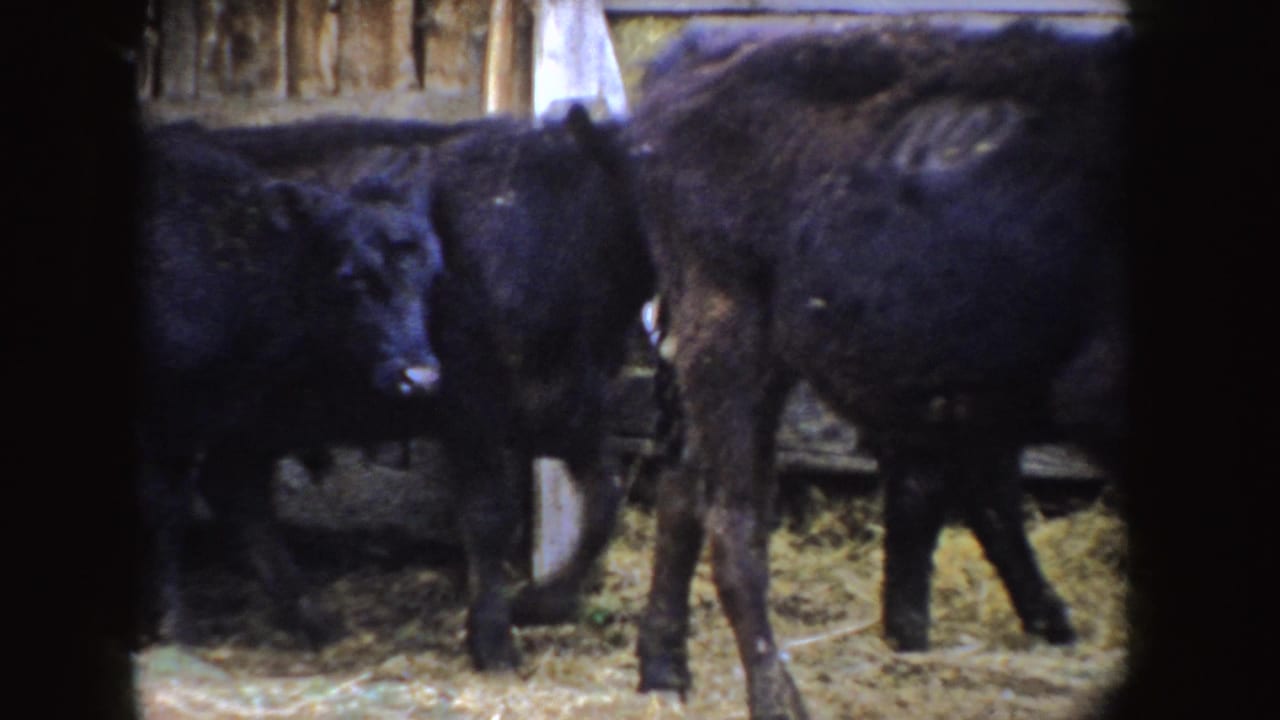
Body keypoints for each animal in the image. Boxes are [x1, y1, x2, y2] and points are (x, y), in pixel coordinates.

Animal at [137, 123, 445, 646]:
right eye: (352, 276)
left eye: (430, 271)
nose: (419, 376)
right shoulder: (169, 423)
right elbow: (169, 507)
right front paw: (174, 624)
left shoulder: (238, 417)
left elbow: (242, 498)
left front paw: (311, 614)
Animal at [202, 104, 653, 668]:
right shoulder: (470, 408)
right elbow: (489, 518)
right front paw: (494, 640)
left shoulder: (572, 407)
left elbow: (605, 499)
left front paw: (538, 604)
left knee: (237, 490)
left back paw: (312, 618)